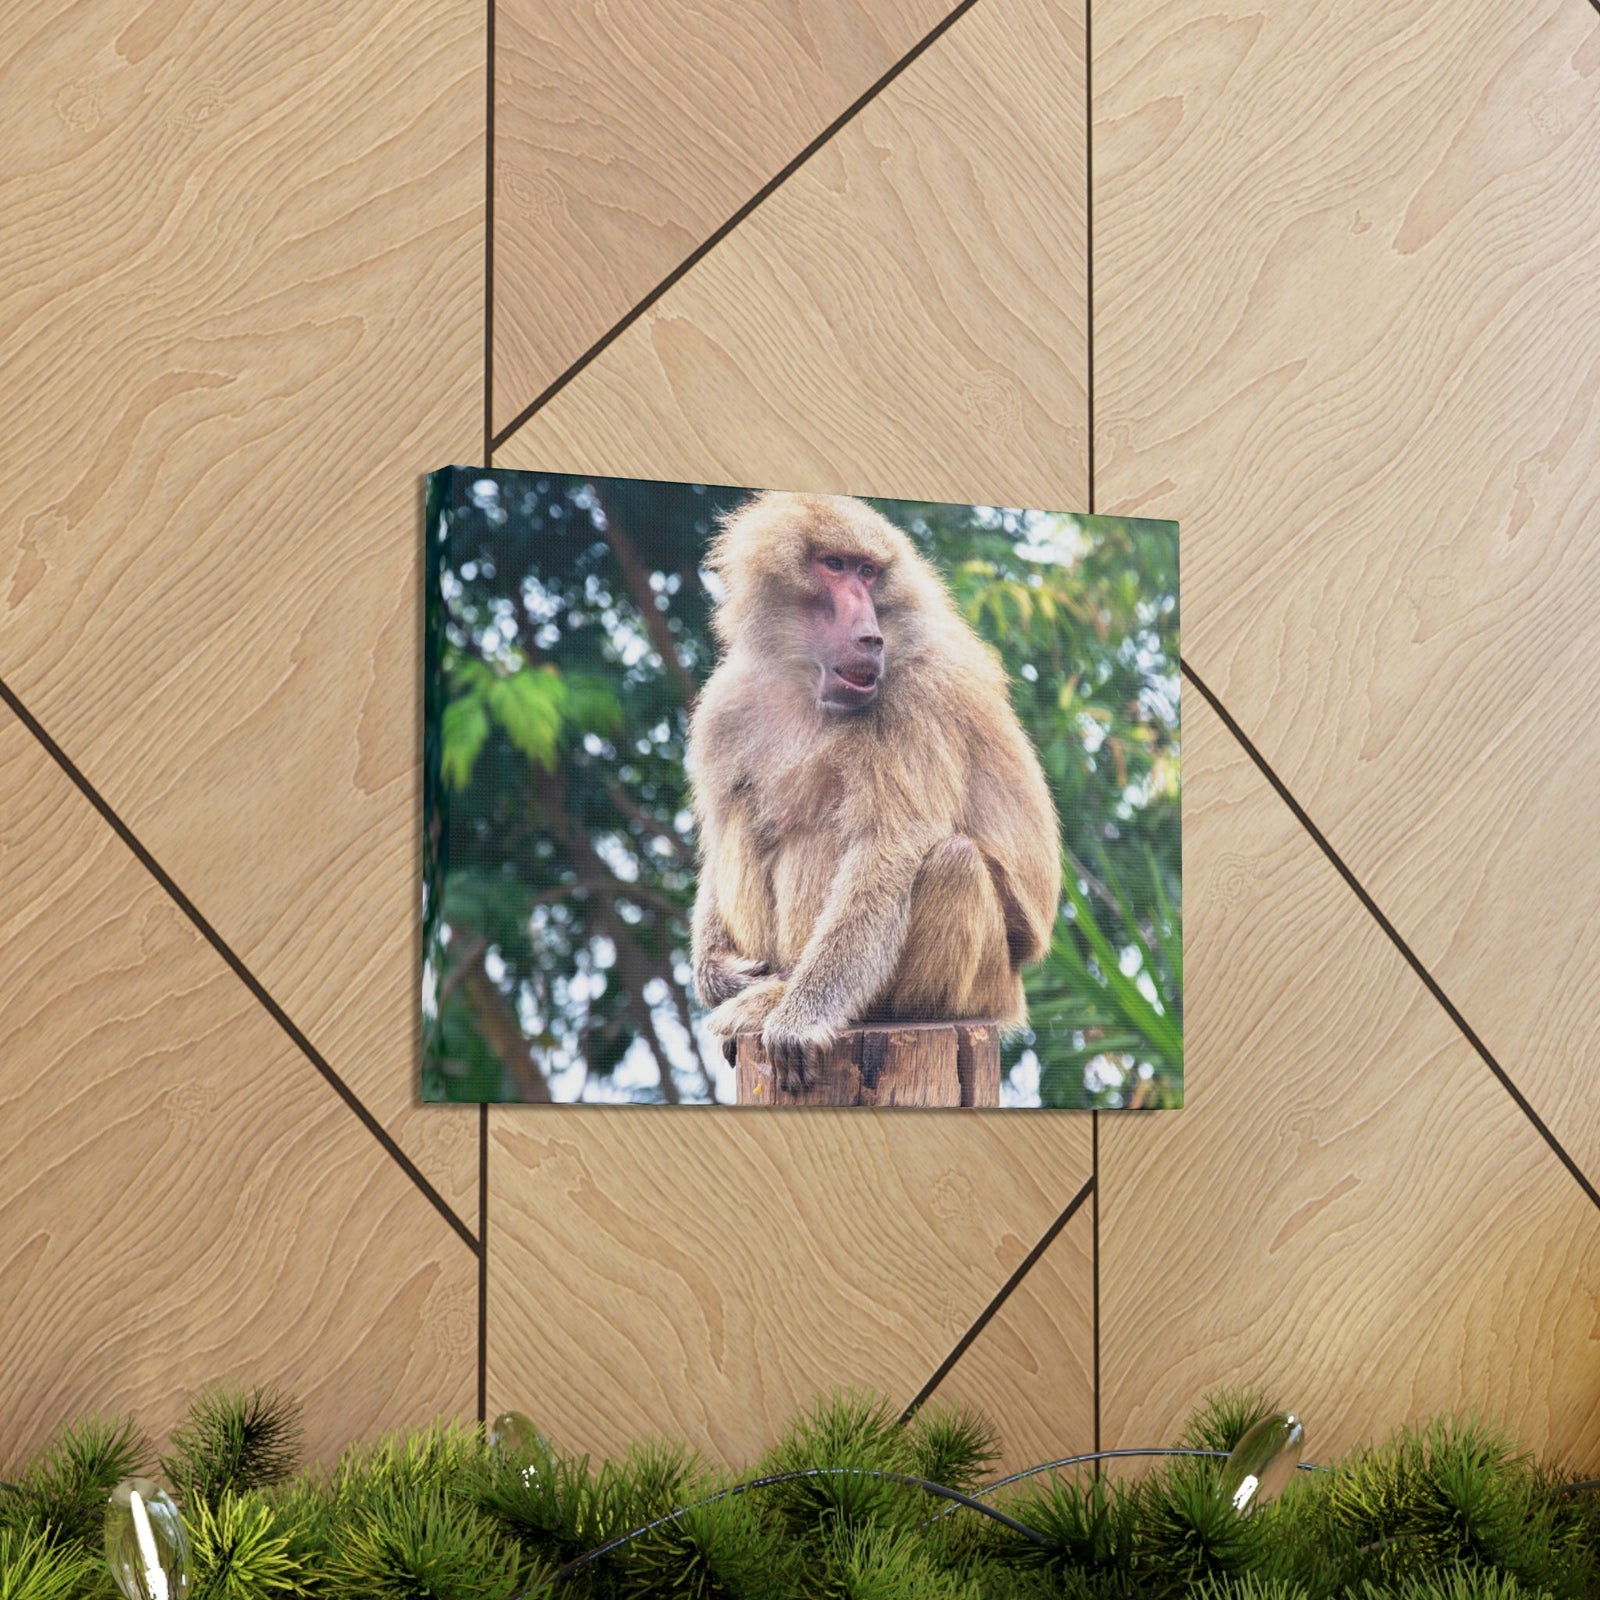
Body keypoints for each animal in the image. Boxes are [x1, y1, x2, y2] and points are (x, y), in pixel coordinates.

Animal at [686, 491, 1061, 1091]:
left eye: (868, 572)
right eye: (834, 565)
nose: (870, 637)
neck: (805, 683)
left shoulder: (916, 697)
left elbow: (885, 849)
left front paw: (800, 1021)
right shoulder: (725, 705)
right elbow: (718, 838)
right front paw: (718, 973)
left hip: (984, 985)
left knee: (949, 861)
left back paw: (800, 1002)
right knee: (749, 814)